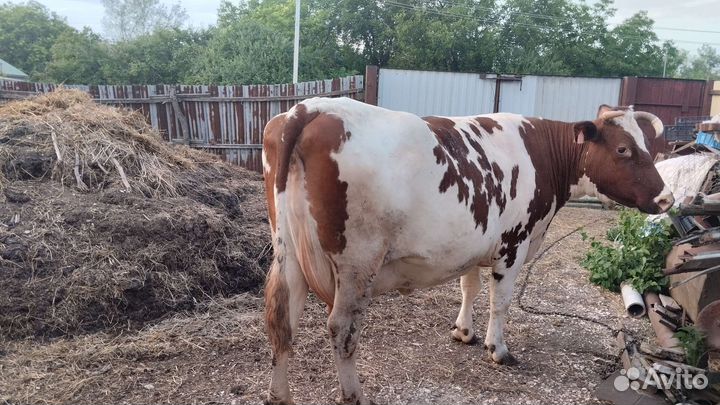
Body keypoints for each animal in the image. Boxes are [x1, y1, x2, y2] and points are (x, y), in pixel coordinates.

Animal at [261, 99, 673, 405]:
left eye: (649, 147)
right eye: (623, 149)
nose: (666, 198)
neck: (541, 152)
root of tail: (309, 109)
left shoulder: (473, 244)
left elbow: (469, 287)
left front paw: (464, 331)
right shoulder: (514, 244)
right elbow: (499, 301)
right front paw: (498, 349)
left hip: (288, 254)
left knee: (282, 319)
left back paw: (279, 395)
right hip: (357, 263)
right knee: (342, 329)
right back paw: (355, 395)